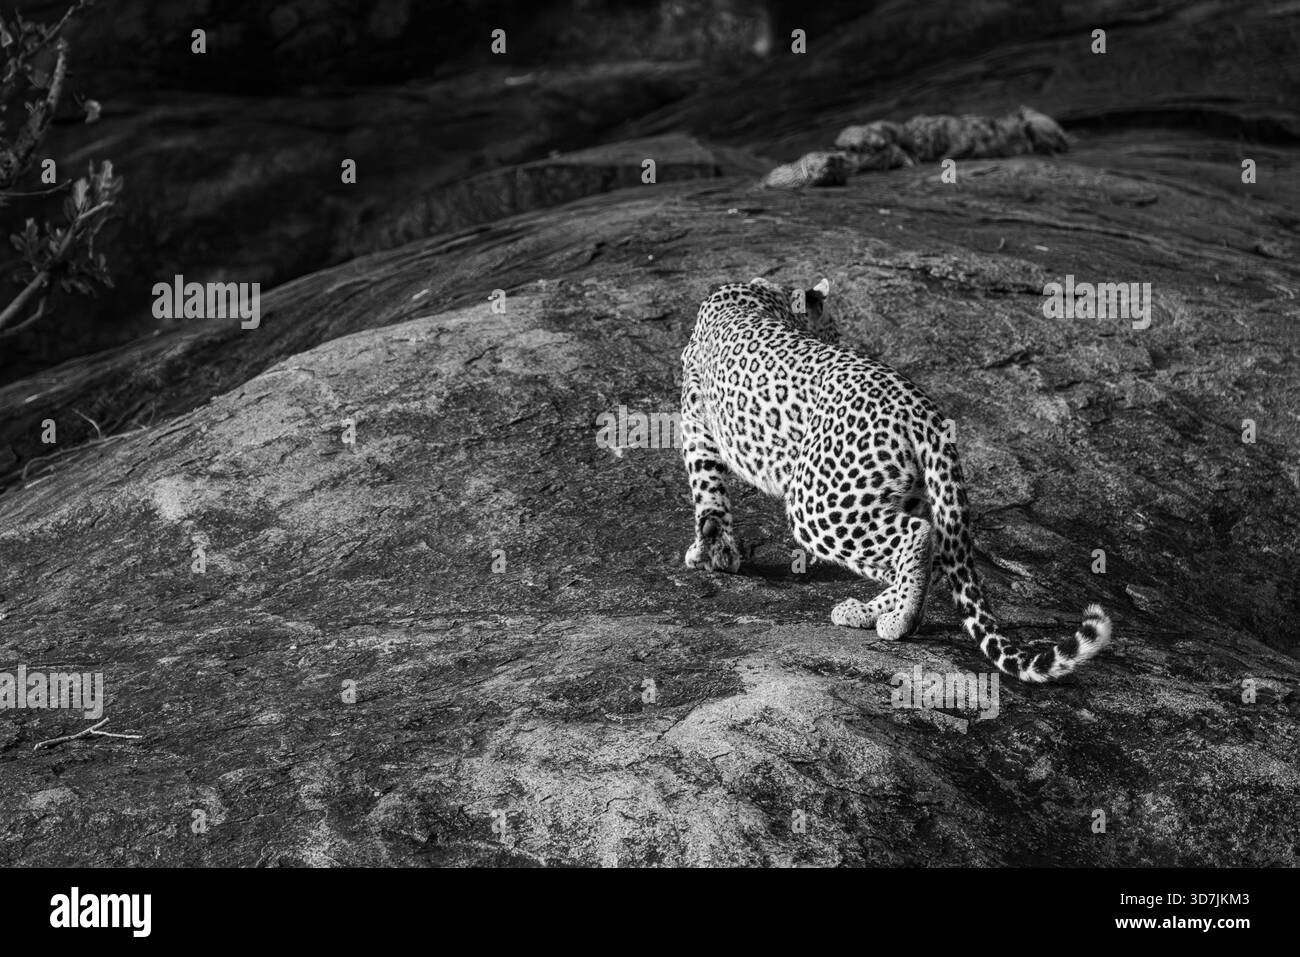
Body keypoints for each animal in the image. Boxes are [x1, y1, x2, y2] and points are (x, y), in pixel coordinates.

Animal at [679, 276, 1111, 682]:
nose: (838, 336)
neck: (764, 296)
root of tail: (922, 410)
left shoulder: (695, 426)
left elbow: (708, 492)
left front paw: (711, 552)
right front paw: (717, 551)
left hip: (818, 501)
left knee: (917, 536)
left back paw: (899, 621)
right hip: (901, 492)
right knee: (928, 556)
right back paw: (870, 611)